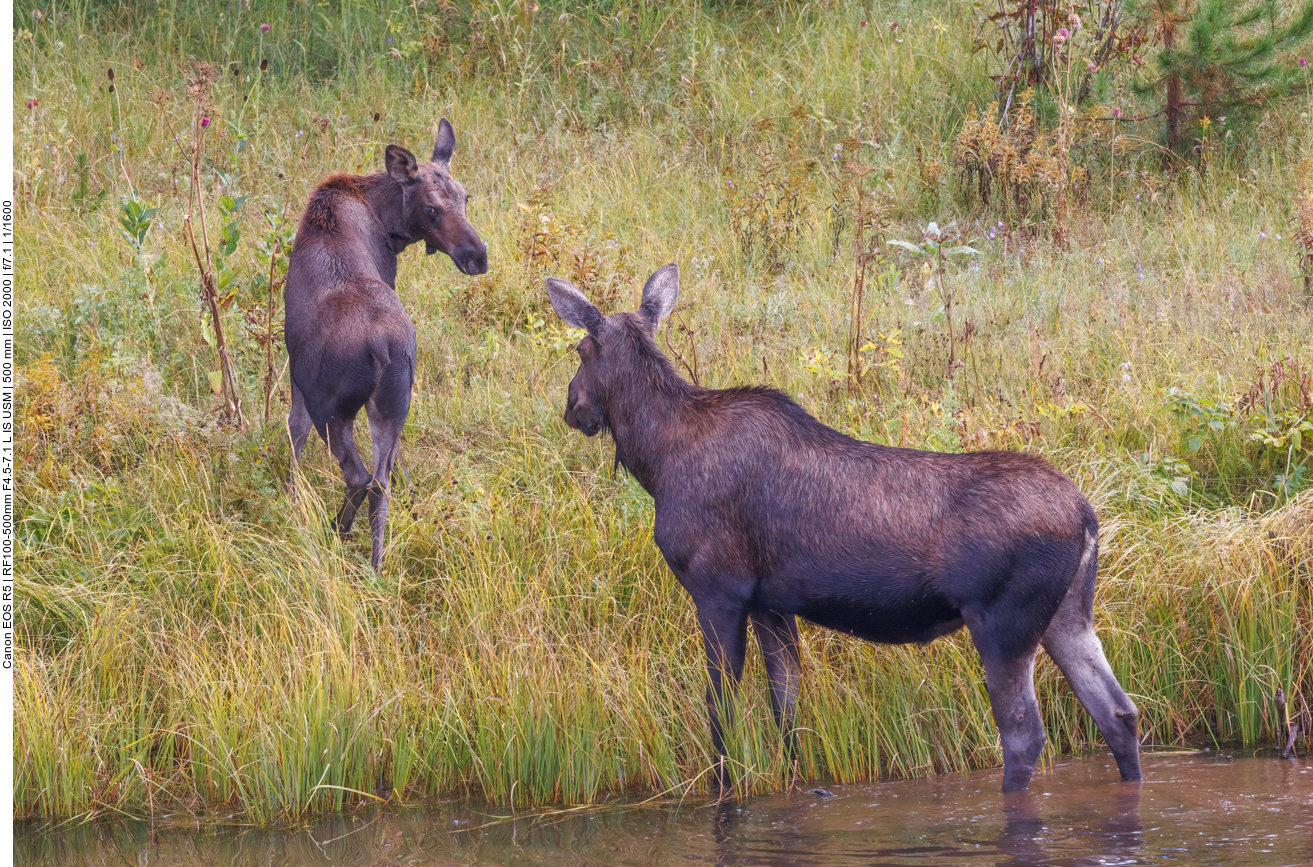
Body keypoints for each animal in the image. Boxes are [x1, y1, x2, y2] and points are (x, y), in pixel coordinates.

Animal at [283, 118, 488, 572]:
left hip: (332, 406)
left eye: (465, 198)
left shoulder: (297, 374)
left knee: (360, 476)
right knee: (382, 482)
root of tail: (381, 344)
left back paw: (337, 536)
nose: (478, 256)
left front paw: (289, 496)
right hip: (395, 399)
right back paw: (376, 566)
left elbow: (294, 432)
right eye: (433, 208)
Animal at [543, 262, 1139, 793]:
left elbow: (722, 716)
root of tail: (1087, 517)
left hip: (1003, 623)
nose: (572, 408)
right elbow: (786, 713)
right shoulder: (772, 604)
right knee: (1119, 712)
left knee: (1023, 736)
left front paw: (724, 790)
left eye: (579, 351)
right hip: (1067, 615)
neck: (656, 459)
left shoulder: (719, 591)